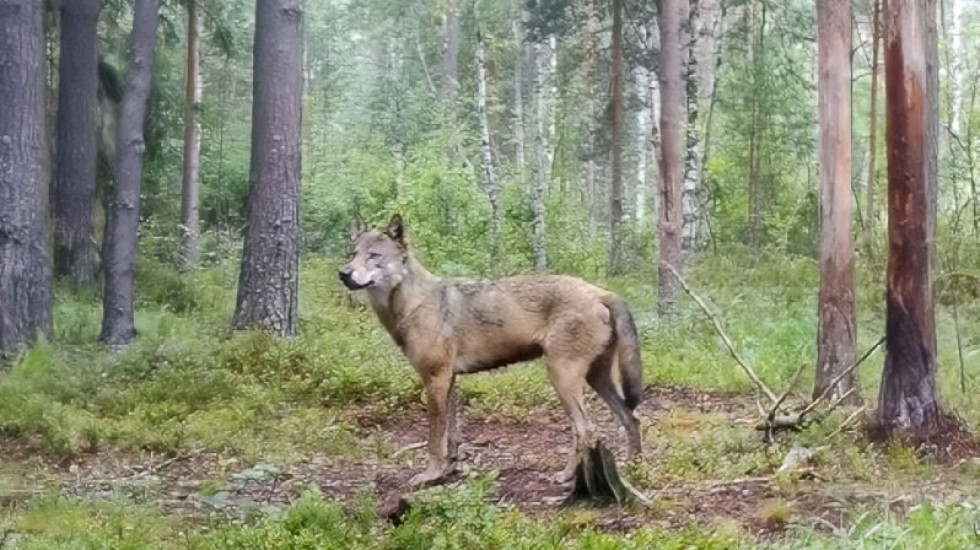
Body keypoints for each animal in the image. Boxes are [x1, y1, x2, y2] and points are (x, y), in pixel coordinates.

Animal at [336, 216, 644, 488]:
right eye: (352, 253)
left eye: (374, 256)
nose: (344, 273)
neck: (415, 304)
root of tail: (602, 293)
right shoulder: (449, 381)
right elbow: (452, 437)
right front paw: (448, 470)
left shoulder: (435, 380)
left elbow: (435, 438)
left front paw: (429, 475)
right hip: (595, 378)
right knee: (630, 418)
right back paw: (633, 471)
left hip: (562, 378)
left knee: (586, 430)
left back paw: (568, 477)